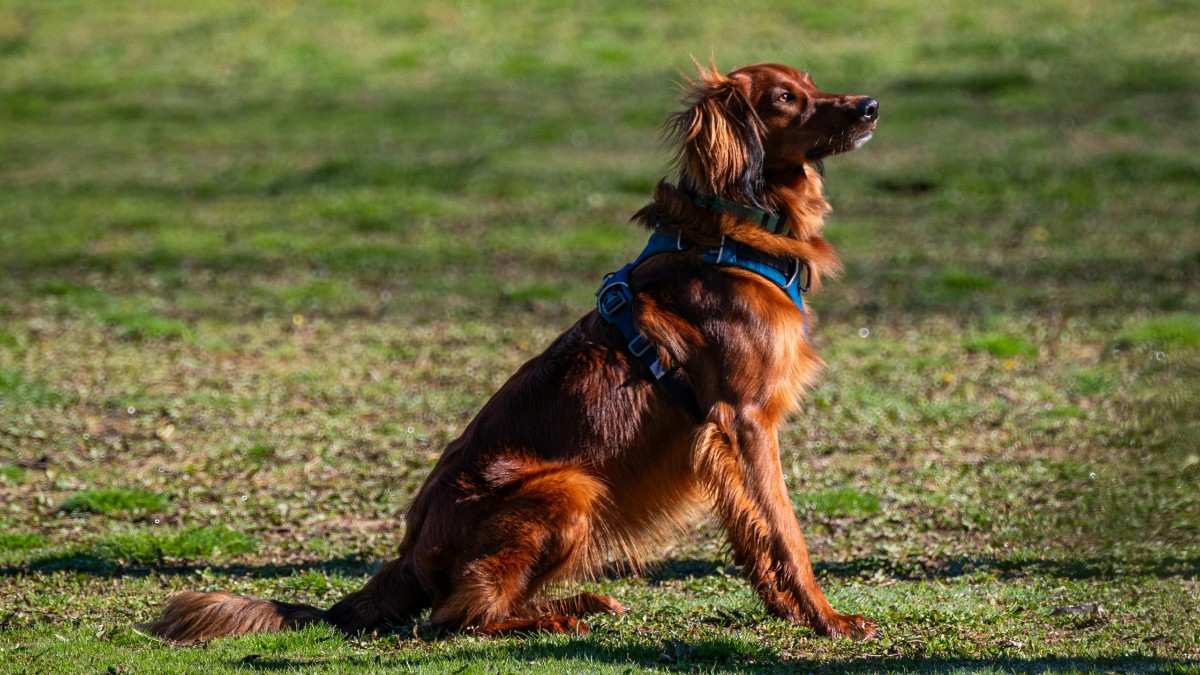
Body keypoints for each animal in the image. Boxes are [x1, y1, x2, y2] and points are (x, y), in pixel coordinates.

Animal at [150, 61, 883, 638]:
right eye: (784, 98)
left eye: (812, 82)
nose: (870, 105)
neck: (733, 235)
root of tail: (409, 554)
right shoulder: (744, 421)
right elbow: (784, 531)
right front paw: (825, 618)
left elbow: (756, 534)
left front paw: (789, 613)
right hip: (569, 486)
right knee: (457, 617)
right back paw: (558, 616)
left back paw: (579, 603)